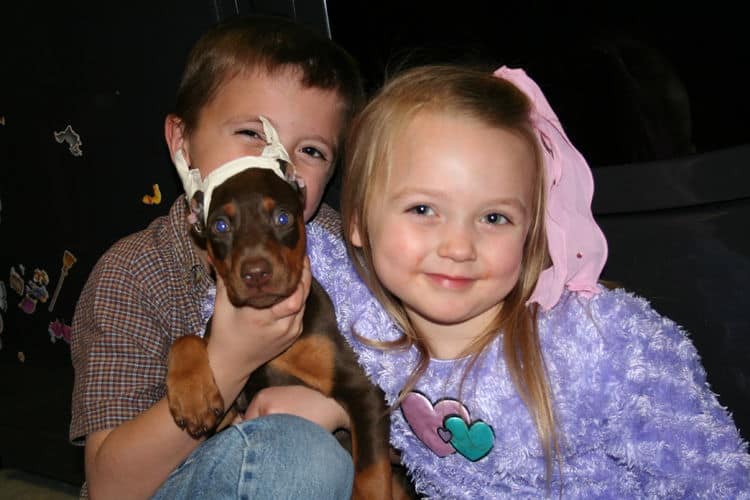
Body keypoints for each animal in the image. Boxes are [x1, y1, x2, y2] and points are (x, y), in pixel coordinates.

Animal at [165, 165, 406, 500]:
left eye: (283, 217)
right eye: (220, 225)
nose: (256, 273)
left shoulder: (363, 391)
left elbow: (370, 474)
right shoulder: (231, 409)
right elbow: (187, 339)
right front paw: (192, 397)